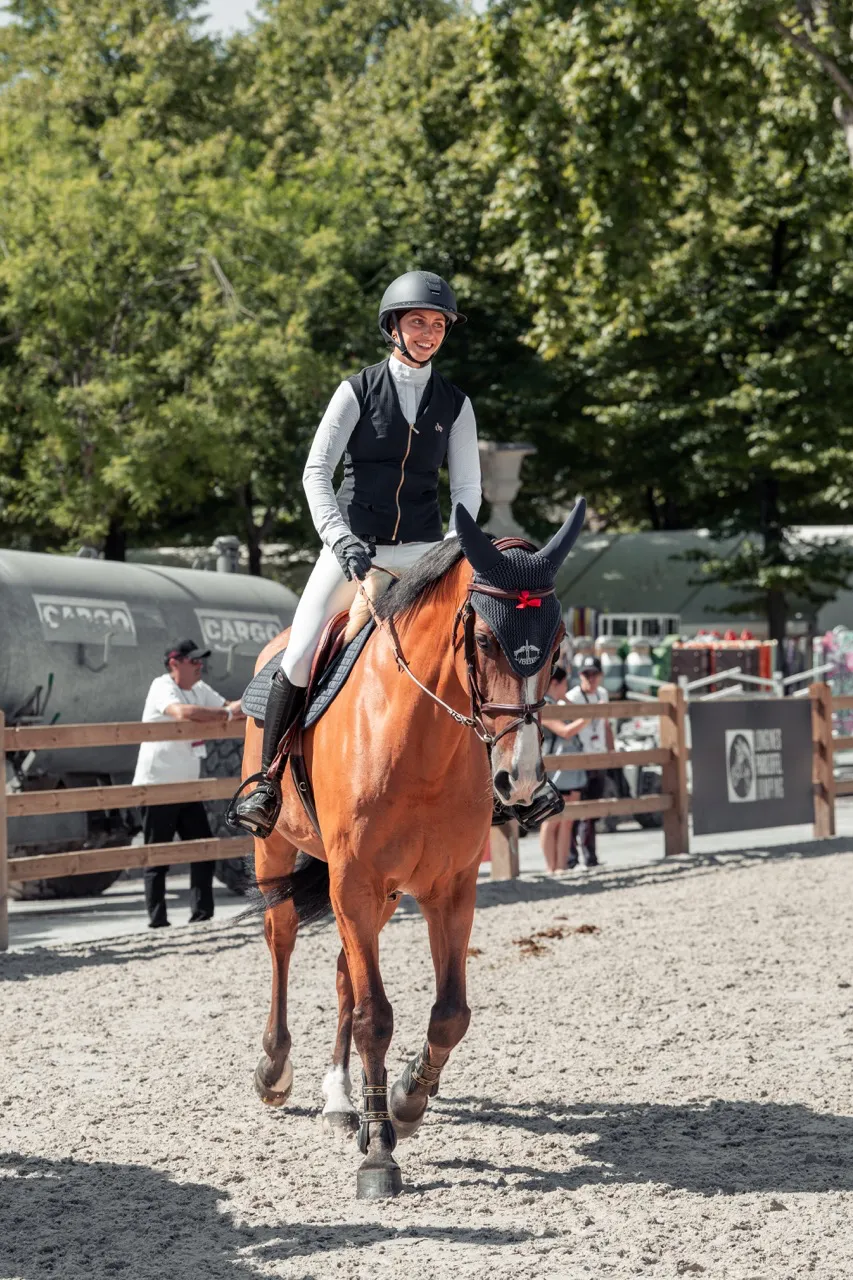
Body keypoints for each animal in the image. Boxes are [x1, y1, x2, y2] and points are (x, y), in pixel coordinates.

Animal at [242, 501, 585, 1199]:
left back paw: (340, 1101)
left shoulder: (448, 886)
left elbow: (449, 1013)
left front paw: (403, 1101)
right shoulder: (353, 881)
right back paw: (276, 1069)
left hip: (376, 895)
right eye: (485, 640)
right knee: (281, 939)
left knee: (343, 973)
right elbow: (375, 1016)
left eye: (559, 644)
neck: (418, 736)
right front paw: (379, 1153)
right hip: (283, 855)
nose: (521, 781)